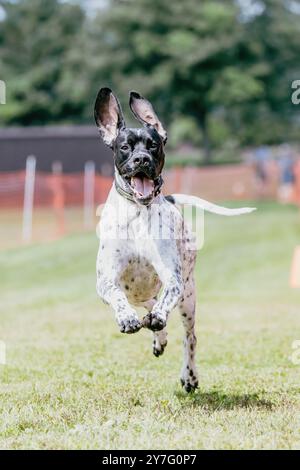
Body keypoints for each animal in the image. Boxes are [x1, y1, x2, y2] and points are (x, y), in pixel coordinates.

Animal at [94, 88, 255, 392]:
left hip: (188, 298)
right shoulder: (106, 280)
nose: (142, 160)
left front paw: (157, 319)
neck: (137, 212)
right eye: (125, 147)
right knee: (145, 304)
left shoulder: (173, 278)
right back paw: (156, 335)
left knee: (189, 336)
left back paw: (188, 374)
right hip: (142, 292)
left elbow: (165, 301)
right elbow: (117, 297)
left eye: (153, 145)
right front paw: (128, 319)